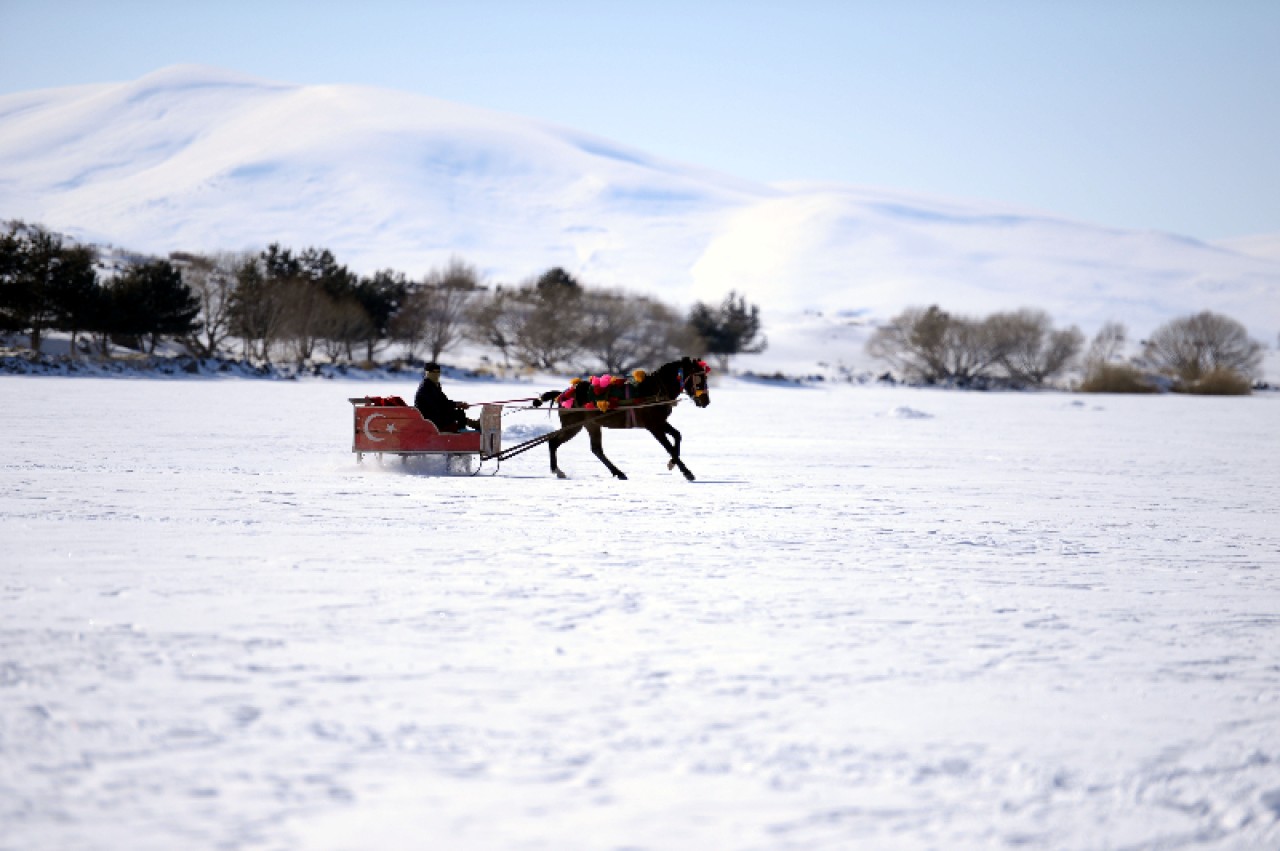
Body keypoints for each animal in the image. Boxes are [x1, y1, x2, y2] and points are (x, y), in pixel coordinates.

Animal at [537, 355, 711, 481]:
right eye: (698, 378)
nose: (706, 401)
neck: (655, 390)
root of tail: (562, 395)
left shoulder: (660, 422)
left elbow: (677, 436)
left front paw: (673, 463)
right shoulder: (653, 426)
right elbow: (668, 447)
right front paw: (685, 471)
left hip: (591, 425)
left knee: (596, 449)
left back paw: (618, 472)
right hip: (574, 426)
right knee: (553, 442)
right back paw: (557, 470)